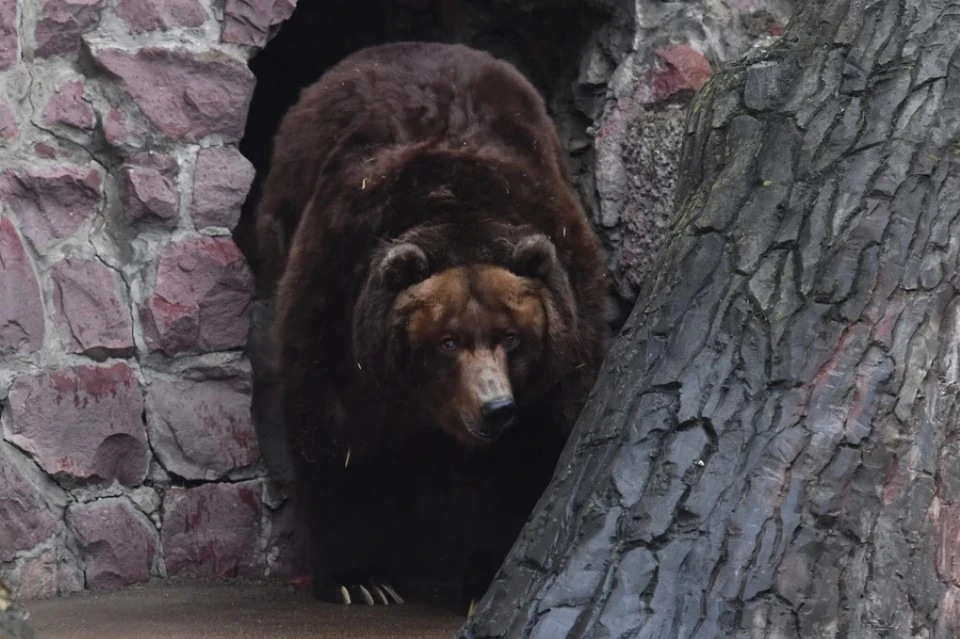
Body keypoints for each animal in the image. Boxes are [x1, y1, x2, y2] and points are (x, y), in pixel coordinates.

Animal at [258, 42, 604, 612]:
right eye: (447, 341)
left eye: (511, 336)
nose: (494, 407)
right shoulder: (337, 294)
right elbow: (332, 434)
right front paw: (361, 579)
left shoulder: (561, 332)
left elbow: (526, 455)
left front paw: (485, 575)